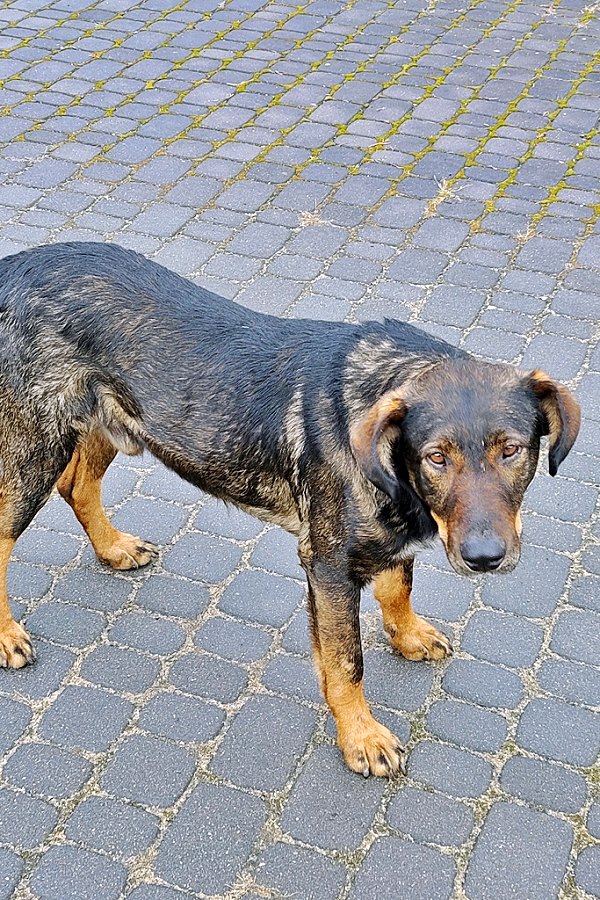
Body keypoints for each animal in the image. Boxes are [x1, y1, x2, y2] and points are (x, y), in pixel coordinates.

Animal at [0, 242, 580, 777]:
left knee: (77, 486)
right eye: (436, 457)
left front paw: (407, 633)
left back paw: (113, 547)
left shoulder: (387, 539)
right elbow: (346, 664)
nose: (484, 558)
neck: (393, 472)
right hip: (34, 450)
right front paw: (361, 736)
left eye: (512, 450)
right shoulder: (329, 568)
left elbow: (398, 585)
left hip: (106, 421)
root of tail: (15, 262)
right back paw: (8, 635)